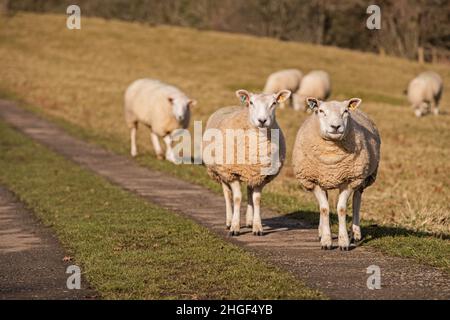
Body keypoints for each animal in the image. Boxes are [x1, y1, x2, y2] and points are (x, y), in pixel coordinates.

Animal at [204, 89, 292, 236]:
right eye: (251, 102)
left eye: (274, 103)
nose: (262, 120)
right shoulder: (232, 172)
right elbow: (237, 198)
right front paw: (235, 227)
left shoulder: (260, 176)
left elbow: (256, 200)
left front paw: (257, 227)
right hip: (221, 172)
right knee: (227, 194)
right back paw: (229, 221)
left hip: (249, 174)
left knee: (249, 193)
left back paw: (250, 221)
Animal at [292, 97, 380, 250]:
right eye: (321, 111)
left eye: (345, 111)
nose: (335, 127)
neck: (331, 157)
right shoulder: (314, 181)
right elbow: (324, 209)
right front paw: (326, 241)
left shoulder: (349, 180)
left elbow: (342, 209)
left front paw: (344, 241)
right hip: (324, 179)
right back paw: (321, 232)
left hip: (362, 178)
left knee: (357, 201)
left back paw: (355, 233)